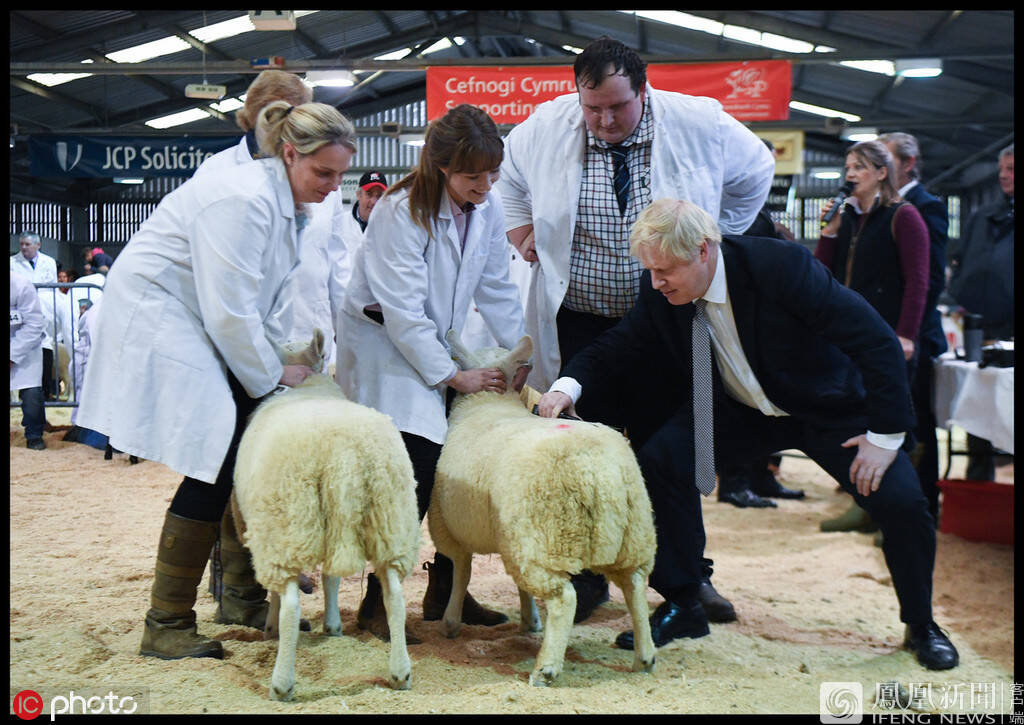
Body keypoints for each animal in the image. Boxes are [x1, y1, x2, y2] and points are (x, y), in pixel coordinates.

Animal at [232, 329, 419, 700]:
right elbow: (333, 578)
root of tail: (342, 452)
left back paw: (281, 682)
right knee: (395, 597)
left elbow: (284, 593)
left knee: (290, 603)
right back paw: (400, 672)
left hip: (286, 522)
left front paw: (272, 627)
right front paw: (333, 625)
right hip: (391, 518)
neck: (312, 384)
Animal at [430, 329, 655, 684]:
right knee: (634, 587)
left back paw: (546, 668)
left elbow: (461, 573)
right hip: (631, 537)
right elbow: (516, 585)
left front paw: (451, 622)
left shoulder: (450, 527)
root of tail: (596, 469)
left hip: (542, 540)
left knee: (565, 598)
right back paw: (644, 656)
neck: (488, 404)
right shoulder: (507, 537)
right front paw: (529, 620)